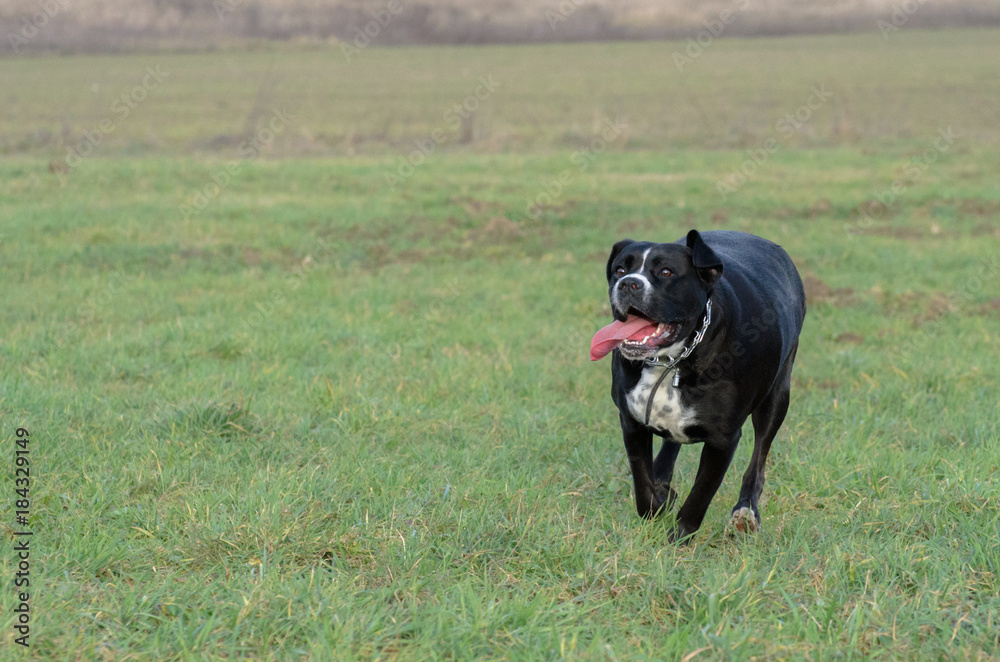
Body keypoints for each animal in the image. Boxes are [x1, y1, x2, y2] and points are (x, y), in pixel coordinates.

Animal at [592, 231, 804, 544]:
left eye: (666, 272)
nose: (629, 283)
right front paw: (656, 506)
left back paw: (746, 512)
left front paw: (677, 538)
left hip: (777, 398)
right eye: (619, 270)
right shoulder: (631, 421)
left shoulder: (723, 438)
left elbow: (700, 495)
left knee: (759, 459)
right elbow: (642, 481)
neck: (673, 360)